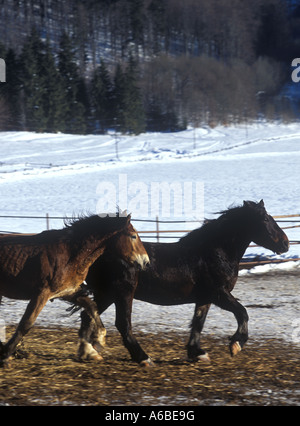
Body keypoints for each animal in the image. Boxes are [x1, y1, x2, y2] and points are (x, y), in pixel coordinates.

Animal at [0, 215, 149, 368]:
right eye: (133, 236)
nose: (146, 262)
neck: (70, 255)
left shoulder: (67, 292)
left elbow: (92, 307)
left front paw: (98, 340)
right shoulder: (42, 294)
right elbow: (26, 324)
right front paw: (5, 355)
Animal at [74, 199, 288, 362]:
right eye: (265, 218)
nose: (285, 243)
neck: (215, 253)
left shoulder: (205, 298)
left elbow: (198, 323)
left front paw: (197, 353)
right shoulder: (219, 293)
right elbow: (242, 313)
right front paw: (236, 344)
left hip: (106, 294)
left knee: (87, 316)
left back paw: (88, 352)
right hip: (122, 293)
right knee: (122, 324)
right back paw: (143, 358)